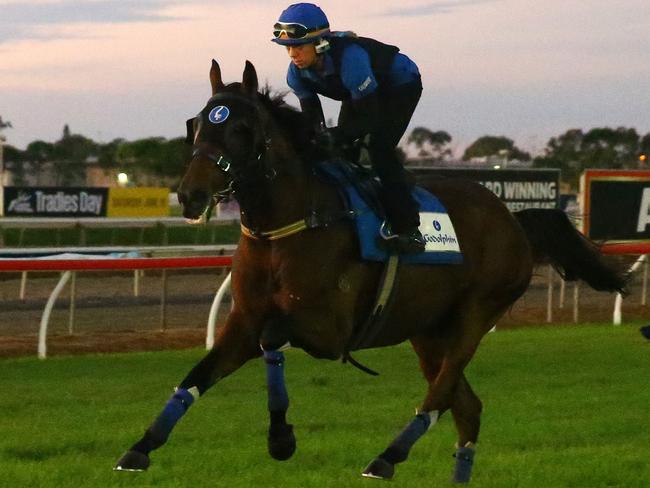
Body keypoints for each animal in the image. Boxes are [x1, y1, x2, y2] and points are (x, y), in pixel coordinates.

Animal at [114, 60, 624, 480]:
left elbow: (274, 338)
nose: (190, 195)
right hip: (427, 331)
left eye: (240, 127)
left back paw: (386, 458)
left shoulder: (330, 331)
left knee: (441, 396)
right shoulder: (243, 320)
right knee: (467, 409)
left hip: (477, 314)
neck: (288, 228)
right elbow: (195, 378)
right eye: (196, 125)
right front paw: (141, 447)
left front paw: (281, 438)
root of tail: (514, 218)